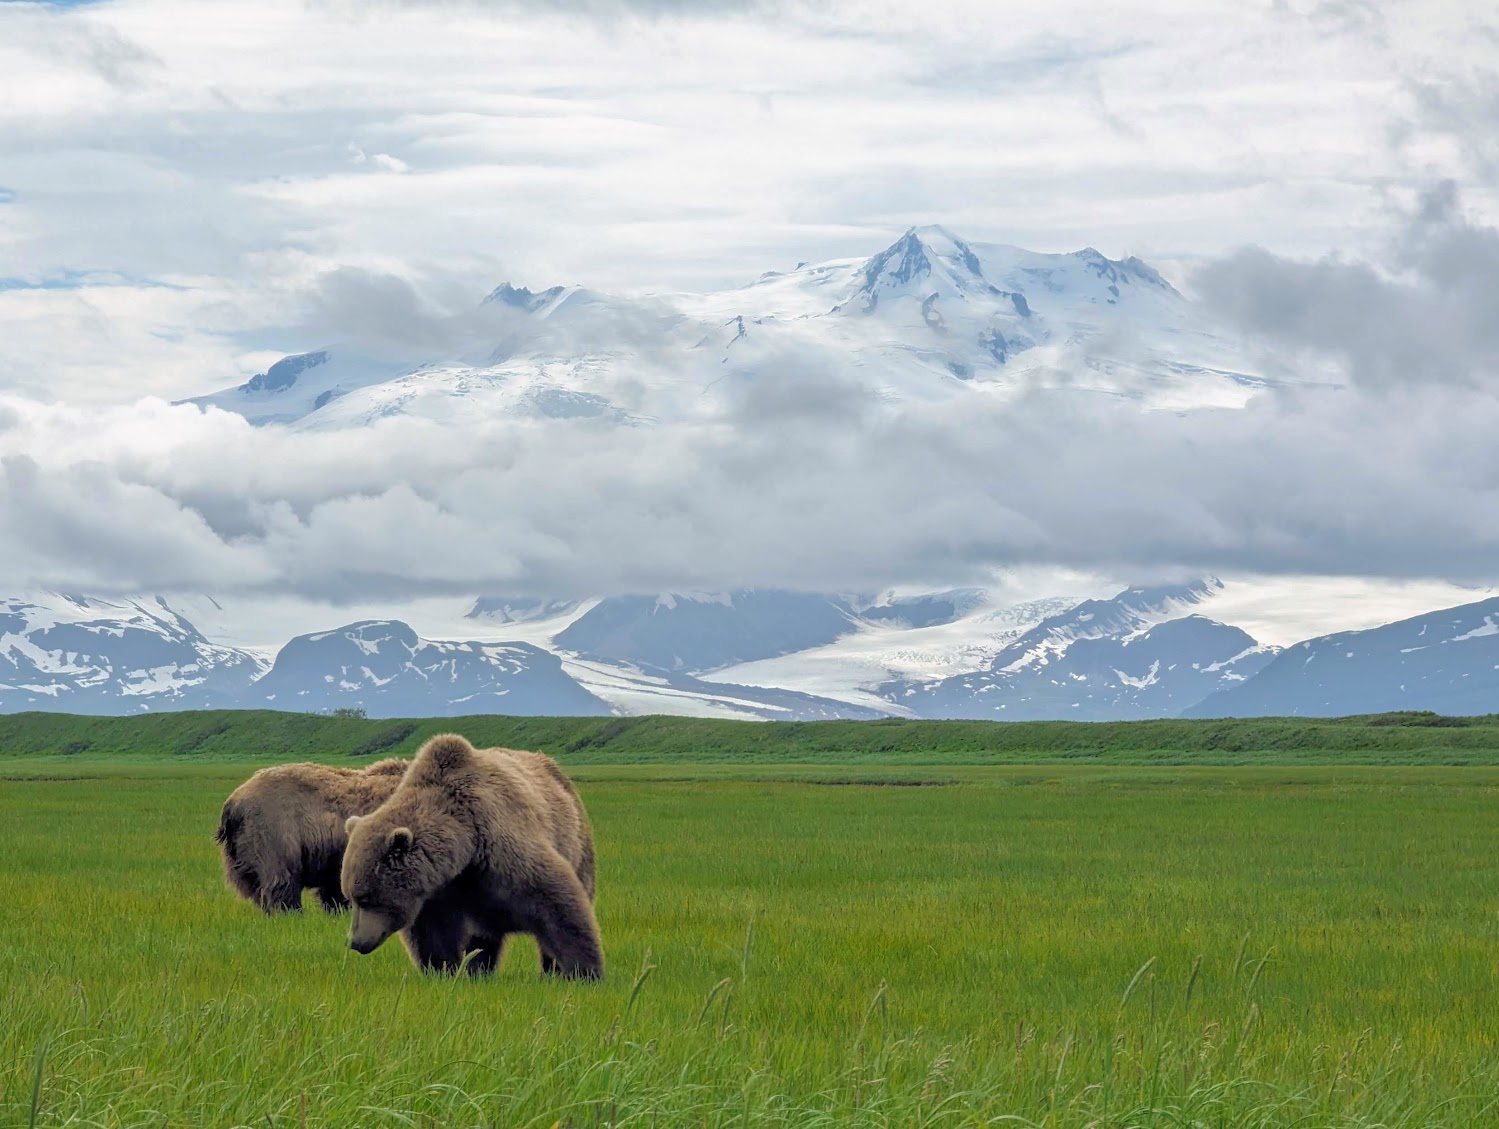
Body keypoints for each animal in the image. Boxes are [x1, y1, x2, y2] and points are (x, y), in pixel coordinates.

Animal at [343, 731, 599, 977]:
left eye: (365, 898)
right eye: (350, 896)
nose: (355, 942)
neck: (464, 848)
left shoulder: (500, 849)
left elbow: (556, 905)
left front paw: (584, 971)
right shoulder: (437, 892)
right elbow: (433, 935)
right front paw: (442, 969)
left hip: (576, 842)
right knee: (483, 941)